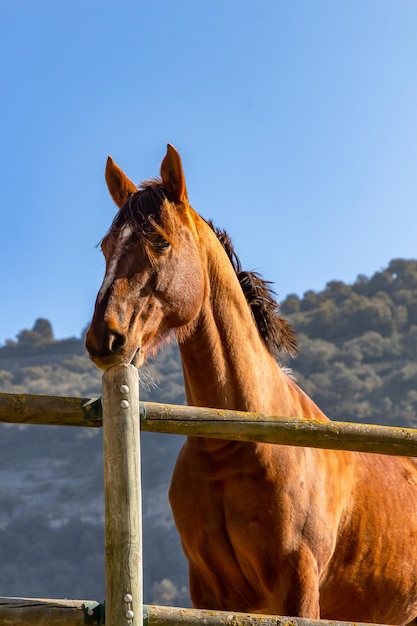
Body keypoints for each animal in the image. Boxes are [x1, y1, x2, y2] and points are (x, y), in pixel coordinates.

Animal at [86, 144, 416, 620]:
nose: (103, 338)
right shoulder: (207, 592)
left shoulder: (299, 587)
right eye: (106, 246)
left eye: (160, 241)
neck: (236, 441)